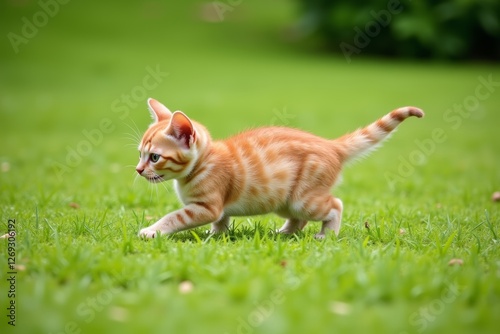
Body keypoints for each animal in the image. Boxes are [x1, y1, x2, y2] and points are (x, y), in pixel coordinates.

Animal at [136, 98, 422, 239]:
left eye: (154, 157)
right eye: (140, 154)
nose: (138, 170)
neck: (203, 162)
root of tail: (331, 145)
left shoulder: (206, 206)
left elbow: (175, 217)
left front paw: (152, 231)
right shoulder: (217, 207)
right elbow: (221, 220)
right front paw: (216, 233)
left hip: (303, 199)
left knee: (335, 205)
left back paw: (327, 234)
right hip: (283, 200)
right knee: (299, 219)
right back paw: (283, 232)